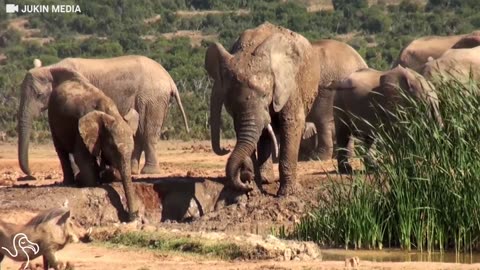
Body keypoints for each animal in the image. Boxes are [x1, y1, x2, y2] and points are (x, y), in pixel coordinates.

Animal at [17, 55, 189, 177]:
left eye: (39, 95)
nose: (32, 174)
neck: (51, 68)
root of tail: (169, 78)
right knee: (139, 132)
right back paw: (133, 171)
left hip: (152, 97)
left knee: (148, 131)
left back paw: (149, 172)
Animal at [47, 67, 139, 221]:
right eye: (114, 149)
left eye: (132, 151)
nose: (134, 216)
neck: (111, 114)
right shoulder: (80, 128)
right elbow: (82, 157)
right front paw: (91, 182)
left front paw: (107, 175)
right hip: (52, 118)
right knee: (61, 150)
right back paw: (71, 182)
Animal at [205, 22, 320, 196]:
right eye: (229, 102)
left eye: (265, 95)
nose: (246, 180)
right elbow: (243, 129)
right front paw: (253, 189)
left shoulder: (289, 83)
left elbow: (291, 122)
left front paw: (288, 194)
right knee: (264, 135)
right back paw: (266, 180)